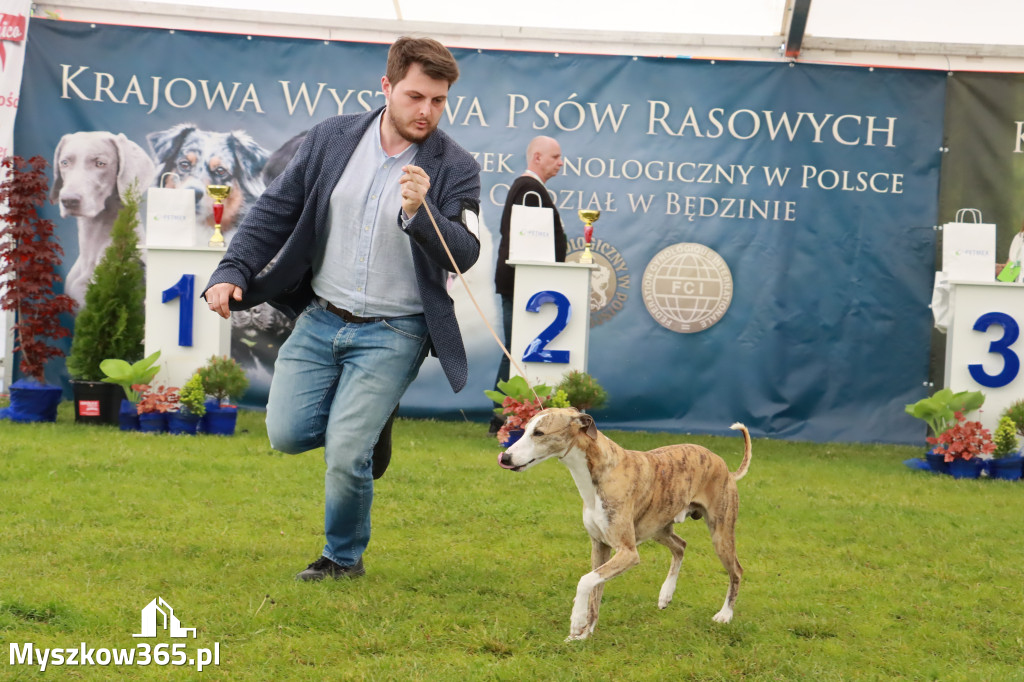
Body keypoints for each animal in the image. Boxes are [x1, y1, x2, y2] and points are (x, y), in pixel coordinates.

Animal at [497, 405, 753, 638]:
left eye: (539, 433)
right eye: (524, 429)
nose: (505, 458)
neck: (601, 474)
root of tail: (726, 469)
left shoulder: (628, 552)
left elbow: (585, 581)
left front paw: (576, 621)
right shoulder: (600, 546)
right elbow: (595, 590)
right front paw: (584, 633)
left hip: (720, 533)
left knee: (736, 571)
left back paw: (725, 614)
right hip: (658, 528)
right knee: (681, 546)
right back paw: (666, 594)